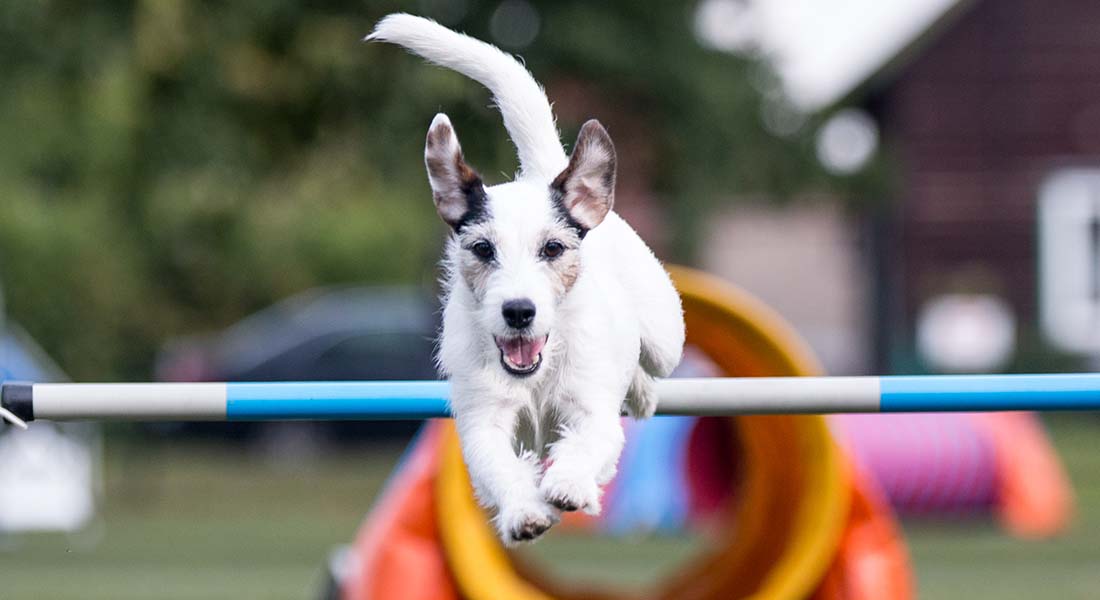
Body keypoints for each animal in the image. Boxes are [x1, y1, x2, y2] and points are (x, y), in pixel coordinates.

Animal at [369, 14, 682, 546]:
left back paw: (642, 392)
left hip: (666, 336)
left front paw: (569, 484)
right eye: (482, 249)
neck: (537, 372)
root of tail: (542, 172)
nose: (518, 311)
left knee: (650, 360)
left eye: (552, 249)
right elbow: (498, 465)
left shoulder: (591, 407)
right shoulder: (483, 420)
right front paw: (525, 510)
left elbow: (589, 439)